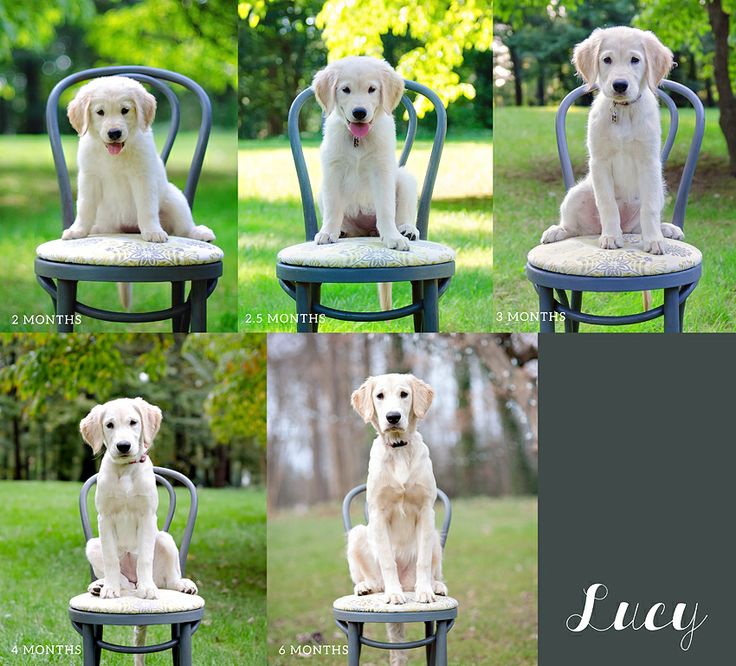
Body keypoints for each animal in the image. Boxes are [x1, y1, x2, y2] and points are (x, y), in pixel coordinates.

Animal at [64, 77, 214, 244]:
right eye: (100, 112)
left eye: (125, 110)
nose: (114, 133)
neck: (115, 155)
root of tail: (129, 229)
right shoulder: (89, 177)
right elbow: (85, 206)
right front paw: (77, 230)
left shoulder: (143, 177)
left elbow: (146, 207)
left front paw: (153, 231)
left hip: (175, 200)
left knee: (183, 227)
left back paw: (199, 232)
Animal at [80, 396, 197, 600]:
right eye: (109, 425)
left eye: (133, 422)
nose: (123, 446)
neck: (126, 469)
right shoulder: (105, 518)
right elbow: (110, 559)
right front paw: (110, 588)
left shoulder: (147, 516)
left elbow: (144, 558)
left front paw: (148, 589)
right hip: (93, 545)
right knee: (120, 577)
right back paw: (100, 585)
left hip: (165, 539)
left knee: (170, 579)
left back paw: (181, 584)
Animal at [312, 57, 420, 252]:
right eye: (346, 89)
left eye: (372, 89)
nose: (359, 112)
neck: (358, 140)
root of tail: (368, 231)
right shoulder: (333, 170)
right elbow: (333, 208)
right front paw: (327, 232)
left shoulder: (382, 170)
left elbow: (386, 208)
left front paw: (393, 237)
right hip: (321, 191)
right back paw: (342, 230)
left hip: (405, 179)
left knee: (402, 215)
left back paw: (406, 230)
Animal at [540, 27, 680, 253]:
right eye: (607, 60)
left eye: (635, 60)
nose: (620, 85)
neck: (623, 111)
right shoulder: (600, 162)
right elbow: (608, 204)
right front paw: (611, 237)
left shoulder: (649, 162)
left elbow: (649, 209)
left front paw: (654, 240)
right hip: (576, 194)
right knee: (574, 227)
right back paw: (558, 230)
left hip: (659, 190)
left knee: (640, 226)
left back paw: (666, 229)